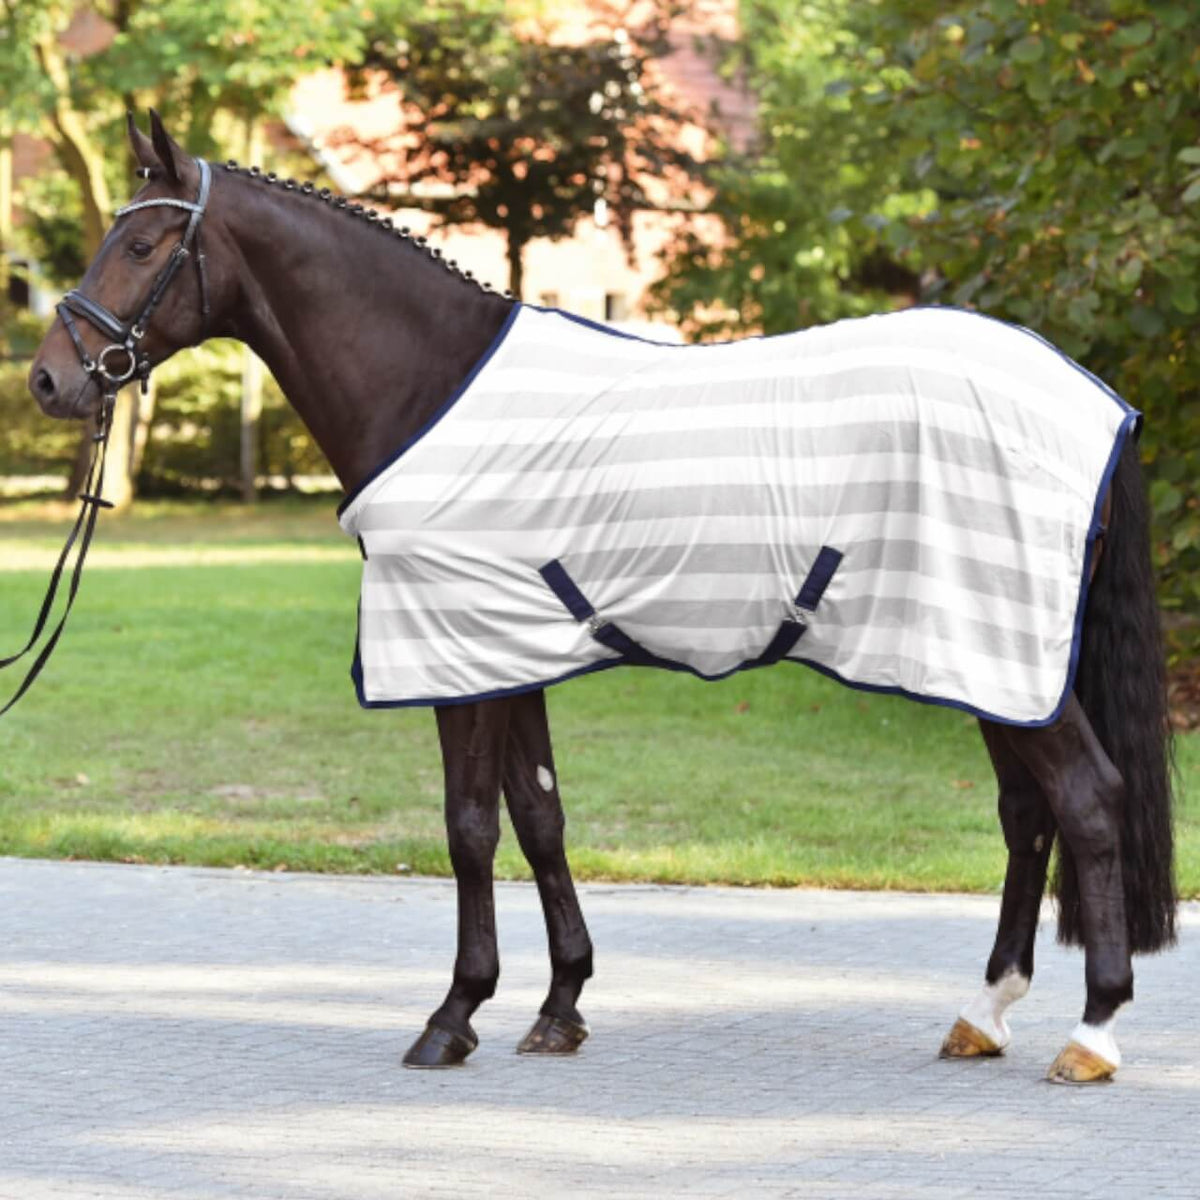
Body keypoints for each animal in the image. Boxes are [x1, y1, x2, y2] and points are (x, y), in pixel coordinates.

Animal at [26, 113, 1175, 1084]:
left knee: (1087, 800)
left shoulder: (454, 651)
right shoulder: (508, 649)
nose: (48, 381)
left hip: (1002, 653)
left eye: (141, 246)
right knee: (1028, 816)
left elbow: (468, 828)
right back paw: (984, 1014)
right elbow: (539, 816)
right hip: (980, 656)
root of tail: (1097, 400)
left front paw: (453, 1017)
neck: (426, 381)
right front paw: (559, 1005)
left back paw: (1092, 1032)